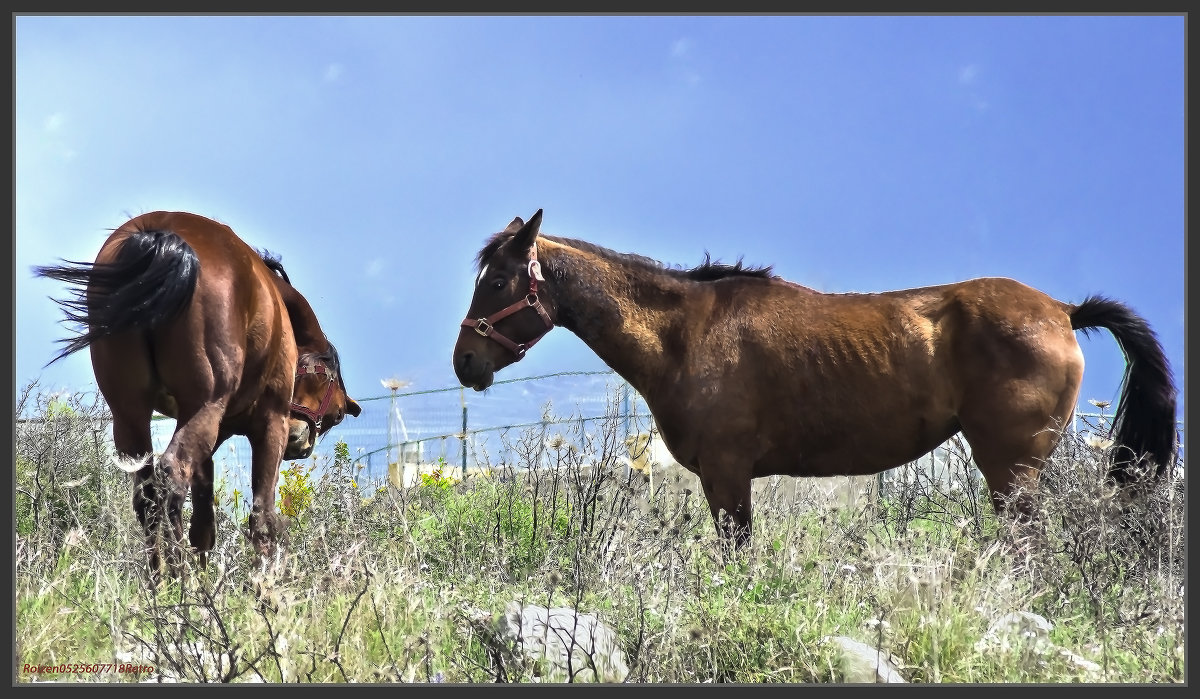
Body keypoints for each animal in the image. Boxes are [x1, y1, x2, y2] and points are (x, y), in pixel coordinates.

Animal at [32, 211, 360, 578]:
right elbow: (262, 518)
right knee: (172, 477)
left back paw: (160, 581)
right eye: (335, 416)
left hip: (131, 415)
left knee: (148, 495)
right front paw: (263, 585)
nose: (300, 445)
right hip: (205, 409)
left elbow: (203, 524)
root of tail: (161, 238)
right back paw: (180, 579)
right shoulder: (269, 424)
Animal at [453, 207, 1176, 547]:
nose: (465, 362)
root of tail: (1061, 309)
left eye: (498, 281)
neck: (685, 334)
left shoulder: (726, 475)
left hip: (1012, 468)